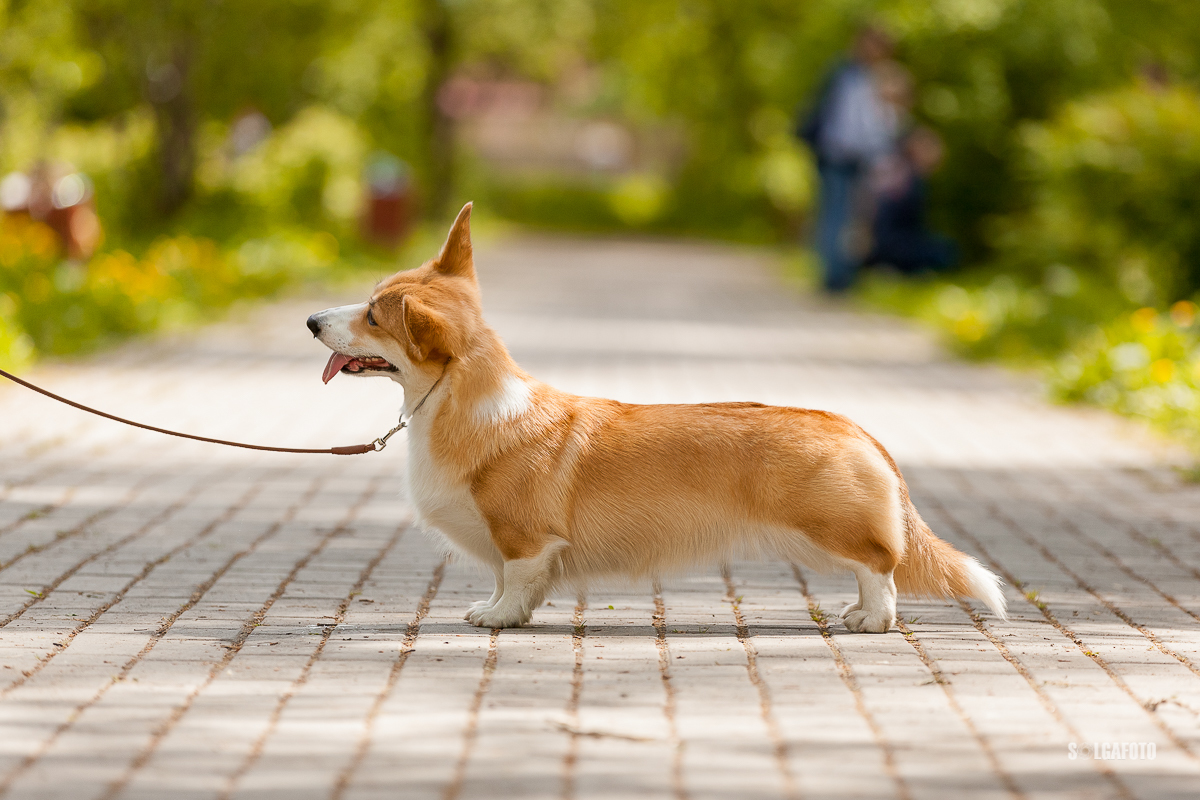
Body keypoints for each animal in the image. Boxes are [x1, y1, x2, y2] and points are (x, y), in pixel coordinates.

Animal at [307, 206, 1003, 633]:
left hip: (831, 527)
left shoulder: (524, 538)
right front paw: (503, 610)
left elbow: (516, 577)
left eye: (373, 315)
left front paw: (498, 617)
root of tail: (860, 431)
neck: (459, 400)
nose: (311, 320)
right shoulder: (519, 547)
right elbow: (514, 583)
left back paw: (870, 621)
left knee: (879, 568)